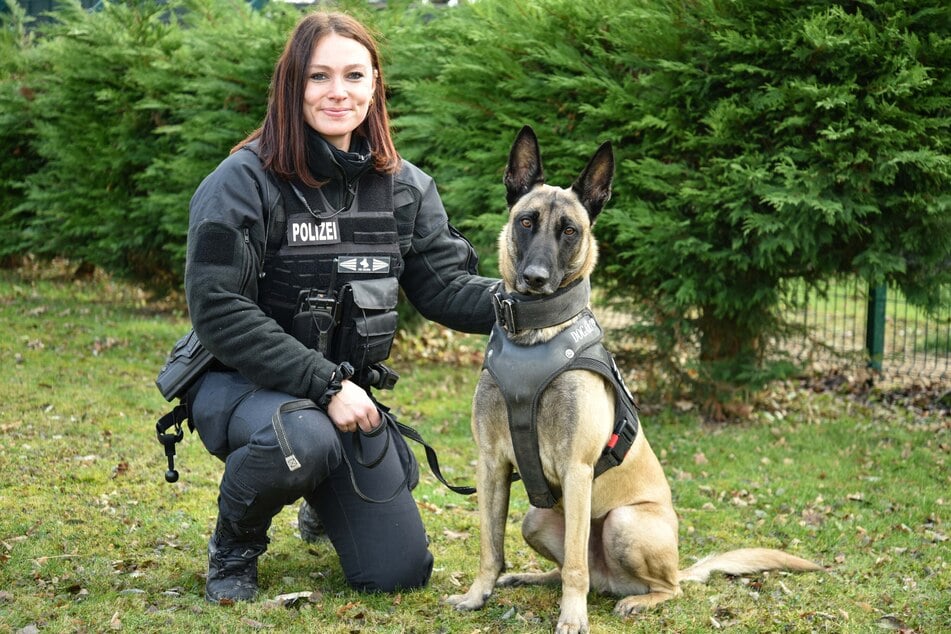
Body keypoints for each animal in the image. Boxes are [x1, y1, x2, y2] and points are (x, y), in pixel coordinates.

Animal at [442, 127, 820, 632]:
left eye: (570, 231)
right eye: (526, 221)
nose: (535, 279)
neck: (535, 336)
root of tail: (615, 581)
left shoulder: (577, 470)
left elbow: (574, 567)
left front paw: (573, 618)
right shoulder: (491, 464)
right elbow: (490, 545)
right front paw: (478, 594)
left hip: (624, 522)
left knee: (652, 583)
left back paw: (638, 600)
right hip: (536, 520)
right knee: (570, 566)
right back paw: (532, 577)